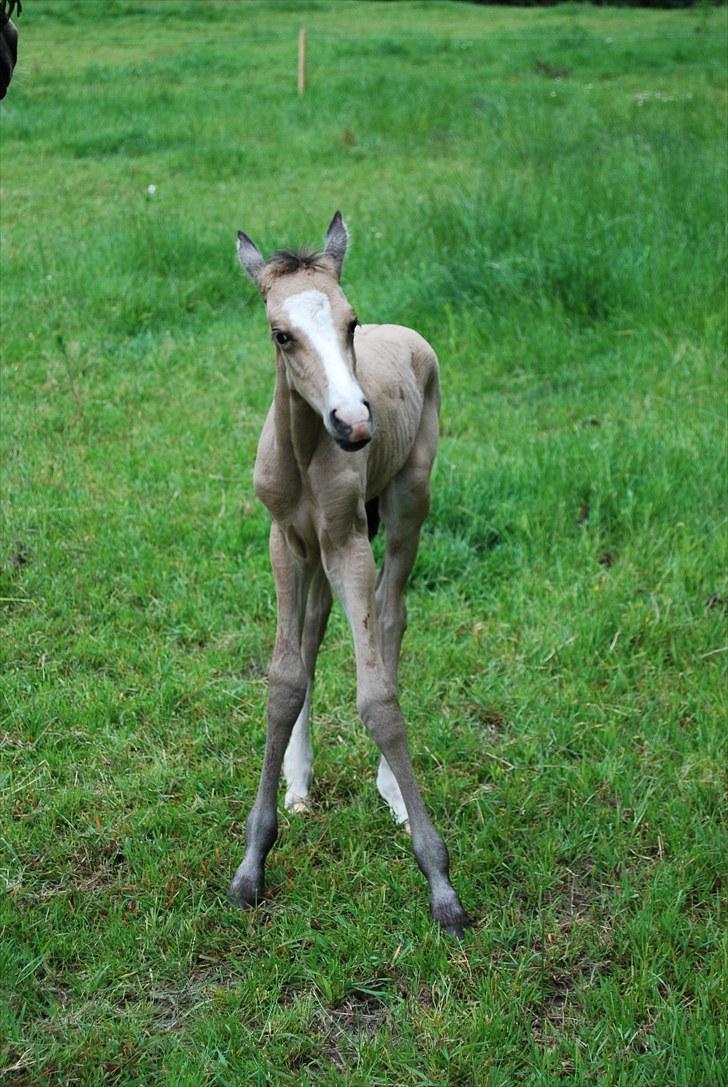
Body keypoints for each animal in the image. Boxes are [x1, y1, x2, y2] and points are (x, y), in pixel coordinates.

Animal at [229, 211, 473, 934]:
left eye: (350, 322)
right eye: (280, 334)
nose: (355, 421)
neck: (308, 451)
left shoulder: (348, 543)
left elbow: (377, 698)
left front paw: (440, 882)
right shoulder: (288, 539)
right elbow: (285, 677)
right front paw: (252, 861)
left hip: (407, 501)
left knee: (392, 614)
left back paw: (392, 792)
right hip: (315, 551)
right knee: (314, 630)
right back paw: (300, 783)